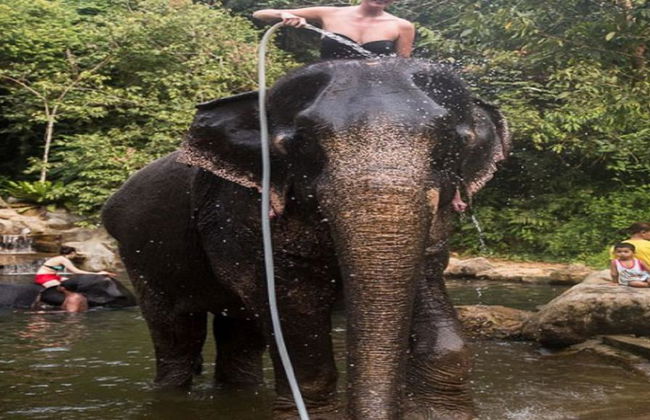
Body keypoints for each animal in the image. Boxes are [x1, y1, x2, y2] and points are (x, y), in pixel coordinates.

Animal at [102, 58, 510, 419]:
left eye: (454, 141)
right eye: (301, 144)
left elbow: (433, 304)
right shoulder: (240, 212)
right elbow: (295, 323)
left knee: (240, 332)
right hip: (140, 255)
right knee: (176, 333)